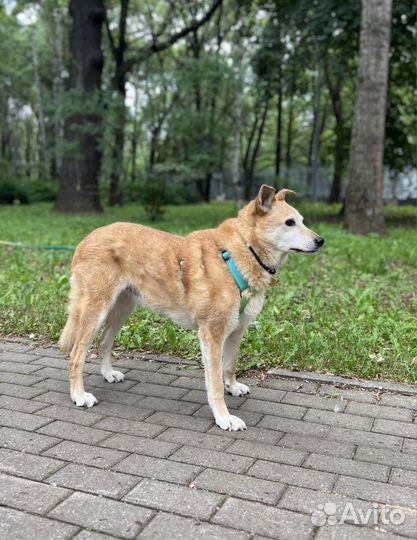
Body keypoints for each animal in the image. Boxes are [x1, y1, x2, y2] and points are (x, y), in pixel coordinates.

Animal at [59, 186, 324, 430]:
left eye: (302, 221)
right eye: (289, 223)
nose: (321, 241)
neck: (243, 252)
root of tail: (87, 238)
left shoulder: (236, 330)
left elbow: (230, 365)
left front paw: (232, 387)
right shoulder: (212, 334)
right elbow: (214, 382)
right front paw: (224, 417)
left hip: (122, 309)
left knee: (104, 342)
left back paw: (107, 374)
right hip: (96, 310)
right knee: (77, 354)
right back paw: (78, 395)